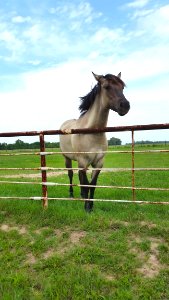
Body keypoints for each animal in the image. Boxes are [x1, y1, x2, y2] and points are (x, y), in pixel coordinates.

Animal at [59, 71, 131, 212]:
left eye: (122, 87)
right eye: (107, 87)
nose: (125, 106)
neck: (92, 132)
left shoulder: (98, 163)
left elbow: (92, 184)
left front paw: (90, 205)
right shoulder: (83, 161)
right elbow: (87, 183)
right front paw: (87, 207)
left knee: (79, 176)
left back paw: (82, 195)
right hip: (67, 158)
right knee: (71, 174)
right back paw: (71, 194)